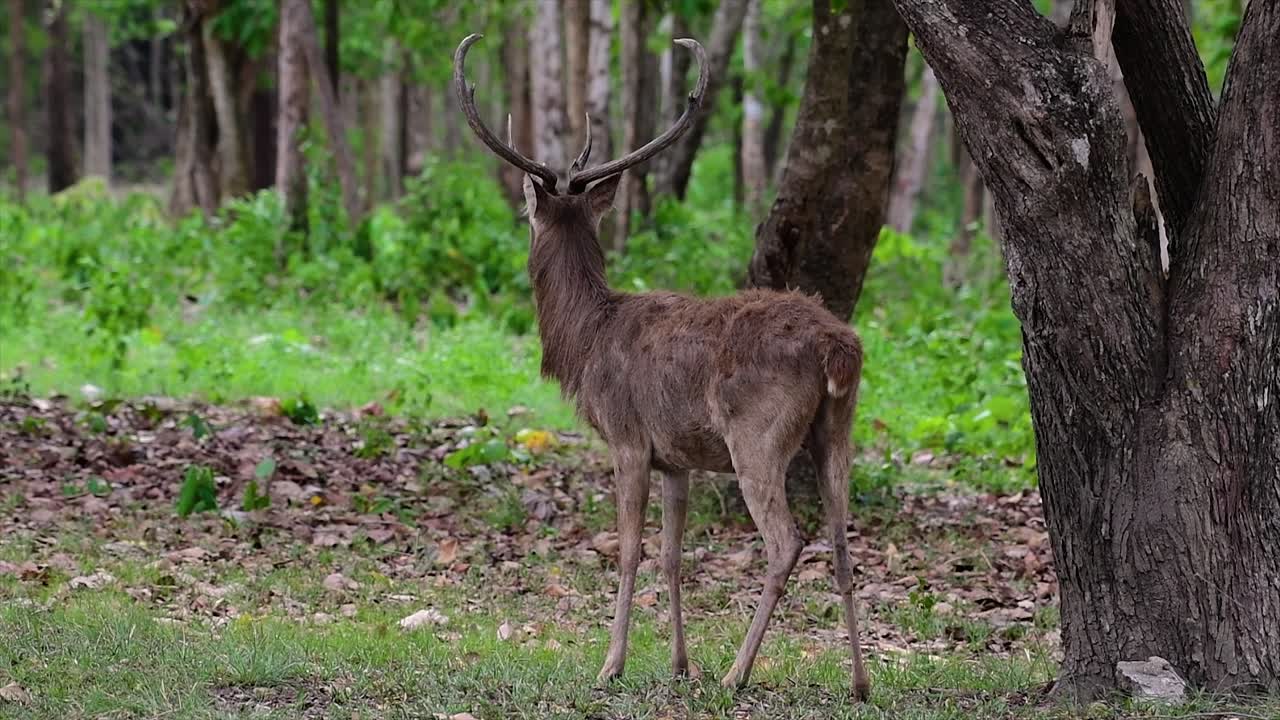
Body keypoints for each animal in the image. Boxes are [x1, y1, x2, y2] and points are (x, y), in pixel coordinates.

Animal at [454, 33, 871, 700]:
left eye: (527, 218)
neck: (585, 341)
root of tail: (839, 348)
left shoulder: (626, 438)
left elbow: (628, 550)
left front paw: (612, 664)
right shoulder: (676, 456)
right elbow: (674, 556)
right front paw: (678, 663)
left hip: (758, 435)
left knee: (787, 542)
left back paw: (736, 673)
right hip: (838, 426)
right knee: (840, 538)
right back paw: (859, 683)